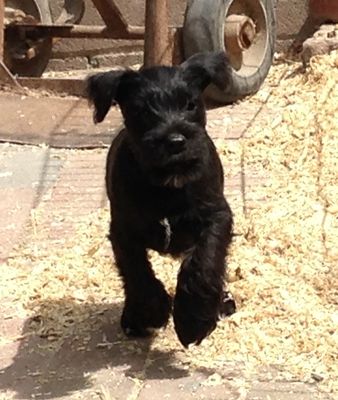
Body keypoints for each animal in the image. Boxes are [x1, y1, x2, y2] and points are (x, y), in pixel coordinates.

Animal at [86, 53, 236, 346]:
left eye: (190, 104)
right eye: (143, 111)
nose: (176, 141)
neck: (168, 186)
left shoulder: (216, 217)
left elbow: (204, 263)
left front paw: (192, 321)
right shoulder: (123, 230)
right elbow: (137, 272)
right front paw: (154, 311)